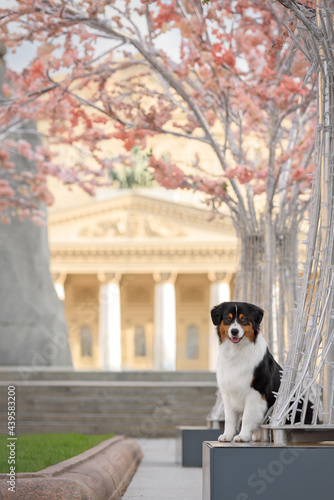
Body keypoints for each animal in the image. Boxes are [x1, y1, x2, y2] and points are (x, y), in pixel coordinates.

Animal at [210, 300, 314, 442]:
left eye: (244, 319)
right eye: (228, 319)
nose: (234, 331)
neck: (237, 352)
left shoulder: (256, 391)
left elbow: (247, 417)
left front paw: (243, 436)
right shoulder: (228, 392)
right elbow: (230, 419)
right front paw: (227, 436)